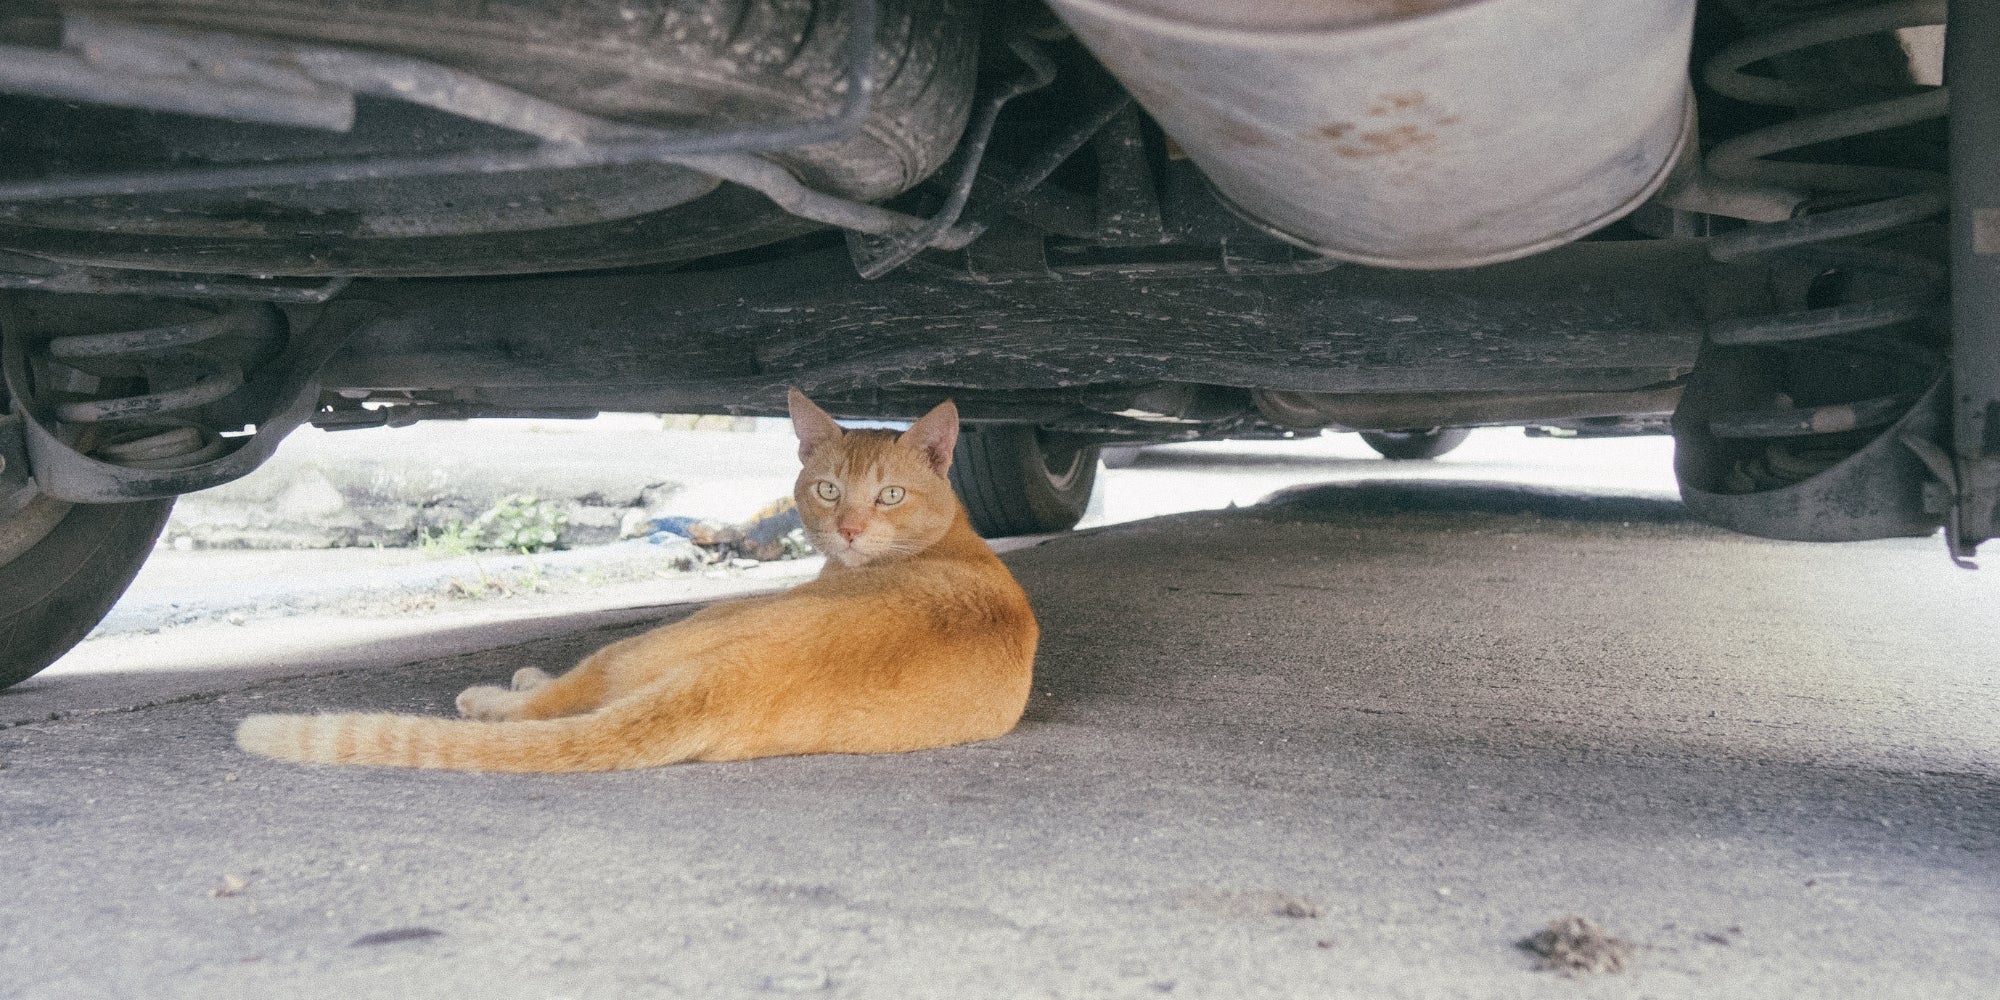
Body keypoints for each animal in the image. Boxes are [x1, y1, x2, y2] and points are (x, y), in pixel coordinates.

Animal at [242, 390, 1040, 772]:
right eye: (827, 490)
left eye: (890, 496)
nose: (846, 531)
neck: (953, 537)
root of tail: (728, 681)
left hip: (652, 638)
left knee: (559, 700)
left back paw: (507, 691)